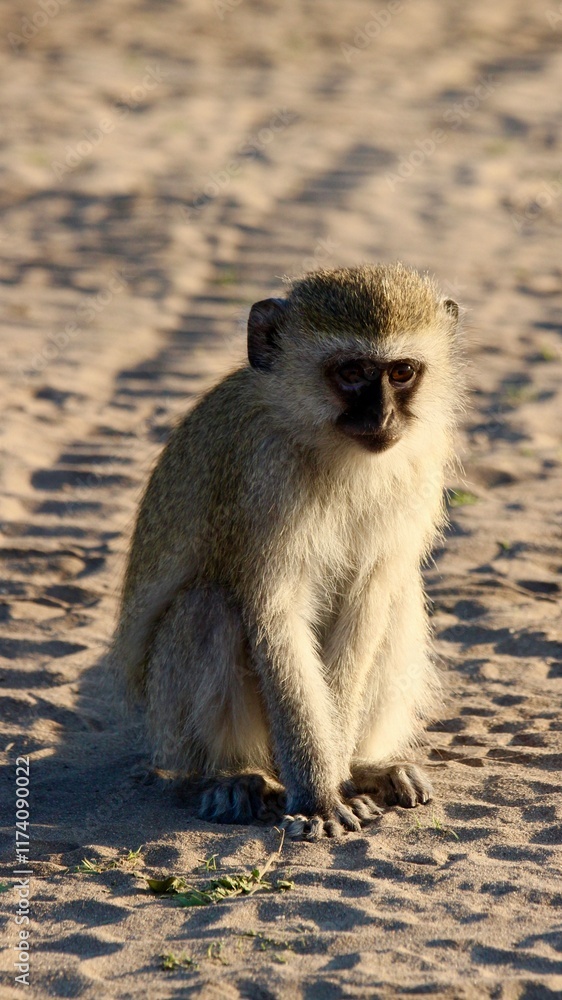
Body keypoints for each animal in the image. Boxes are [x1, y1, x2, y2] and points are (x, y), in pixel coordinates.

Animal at [110, 262, 463, 840]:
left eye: (402, 372)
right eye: (353, 372)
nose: (383, 417)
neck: (333, 451)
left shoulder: (420, 461)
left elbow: (370, 600)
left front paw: (340, 774)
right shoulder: (260, 474)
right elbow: (274, 612)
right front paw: (319, 795)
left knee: (398, 595)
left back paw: (365, 765)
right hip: (168, 725)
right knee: (208, 605)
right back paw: (235, 775)